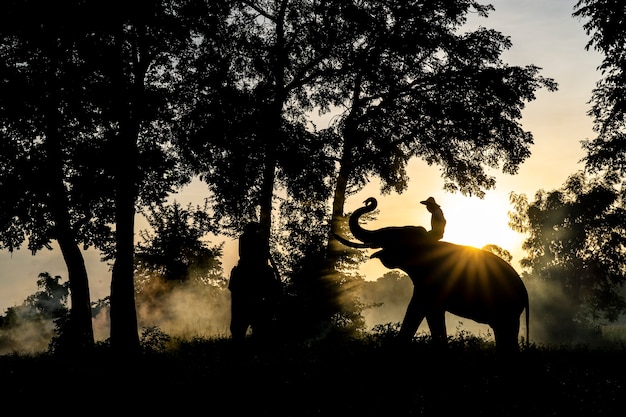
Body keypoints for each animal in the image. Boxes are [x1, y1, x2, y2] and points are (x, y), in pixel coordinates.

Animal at [334, 197, 528, 352]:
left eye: (394, 236)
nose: (369, 201)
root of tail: (525, 293)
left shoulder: (431, 286)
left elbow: (417, 310)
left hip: (507, 309)